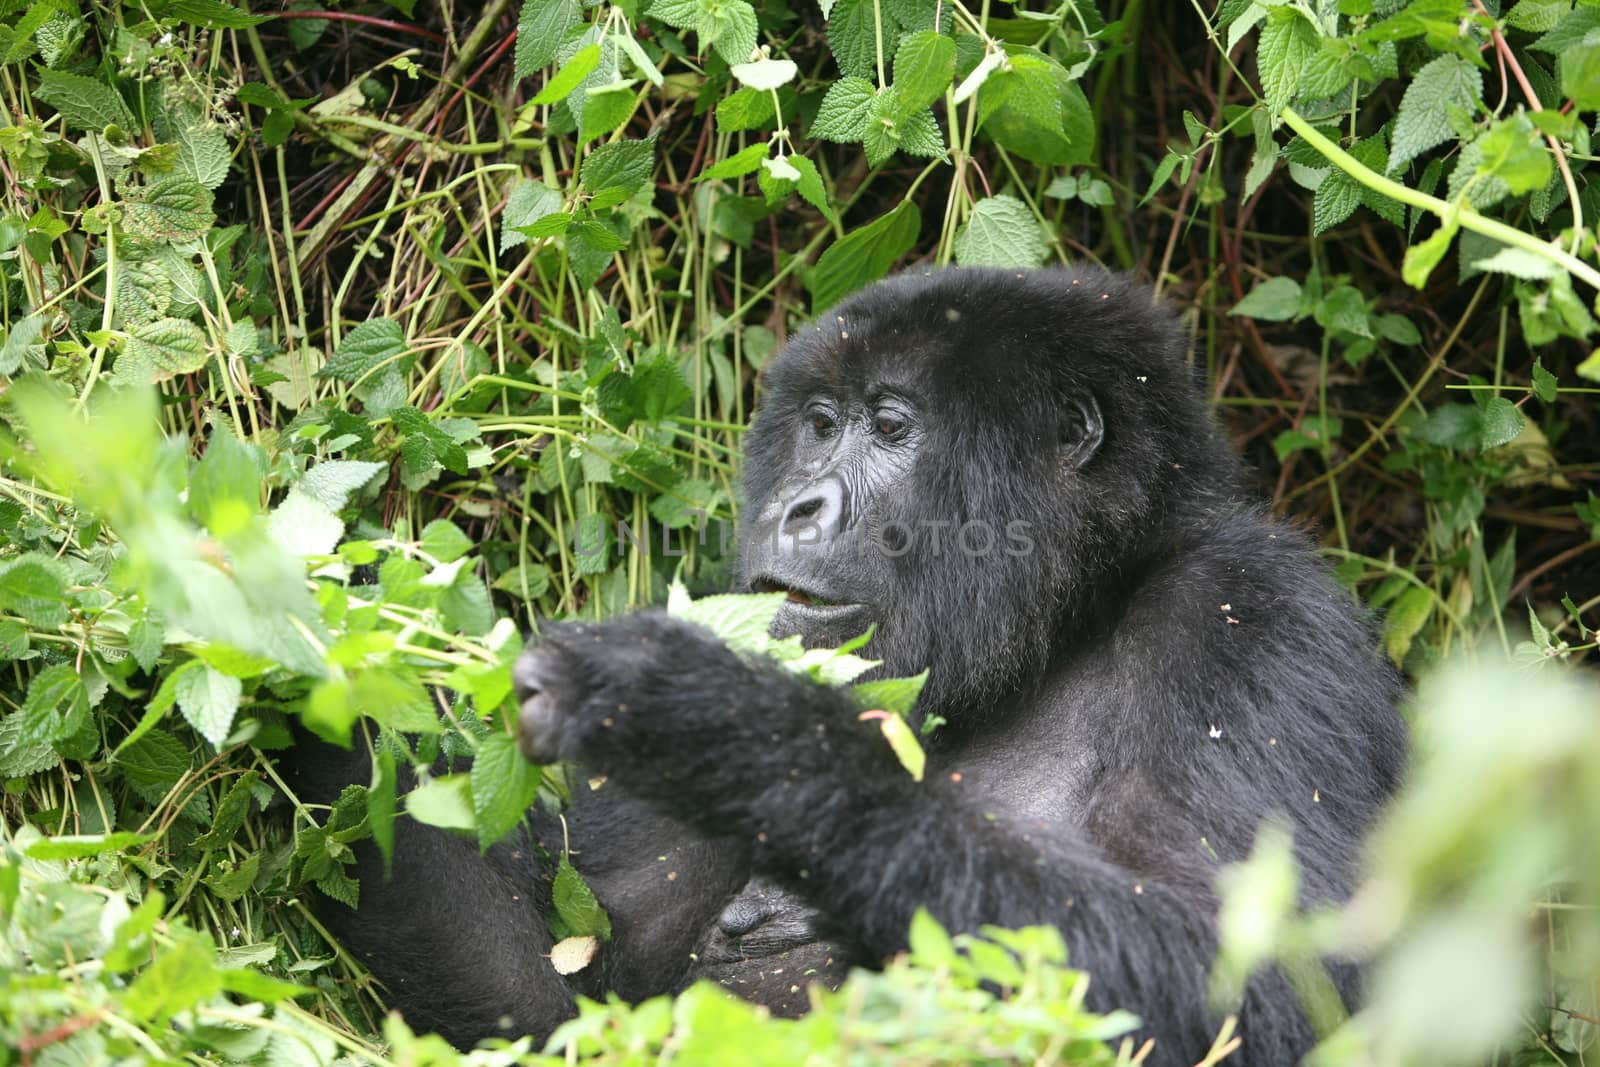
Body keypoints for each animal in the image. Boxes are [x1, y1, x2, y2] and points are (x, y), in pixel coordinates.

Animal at [297, 267, 1401, 1067]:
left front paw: (729, 729)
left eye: (891, 426)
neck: (1070, 618)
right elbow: (549, 1005)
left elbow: (1262, 998)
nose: (798, 505)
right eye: (820, 423)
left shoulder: (1250, 619)